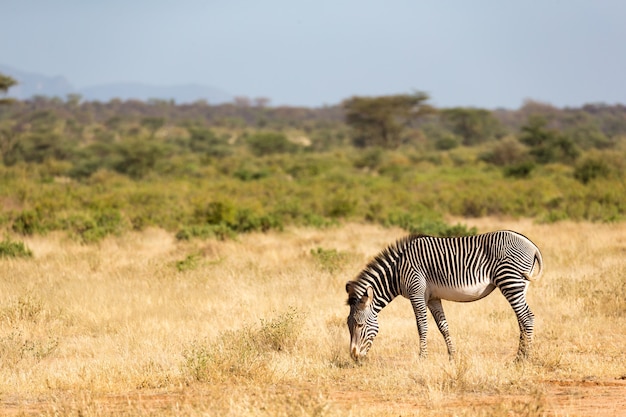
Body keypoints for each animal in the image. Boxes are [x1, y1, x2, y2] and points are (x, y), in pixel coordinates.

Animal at [346, 231, 540, 360]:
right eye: (348, 325)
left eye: (360, 325)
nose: (353, 356)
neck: (398, 270)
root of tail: (531, 245)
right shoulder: (433, 298)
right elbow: (443, 326)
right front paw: (452, 356)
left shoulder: (417, 293)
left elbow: (422, 326)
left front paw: (422, 358)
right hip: (520, 285)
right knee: (521, 319)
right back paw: (521, 354)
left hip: (510, 280)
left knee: (527, 317)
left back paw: (523, 359)